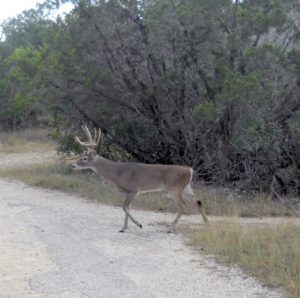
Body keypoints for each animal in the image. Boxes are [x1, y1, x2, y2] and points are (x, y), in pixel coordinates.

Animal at [72, 125, 209, 233]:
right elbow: (126, 208)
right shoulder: (126, 192)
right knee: (198, 200)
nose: (73, 165)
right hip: (185, 187)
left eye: (84, 158)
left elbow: (124, 207)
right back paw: (207, 223)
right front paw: (123, 228)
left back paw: (171, 228)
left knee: (184, 205)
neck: (117, 173)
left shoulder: (133, 189)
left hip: (175, 188)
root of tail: (189, 170)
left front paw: (138, 224)